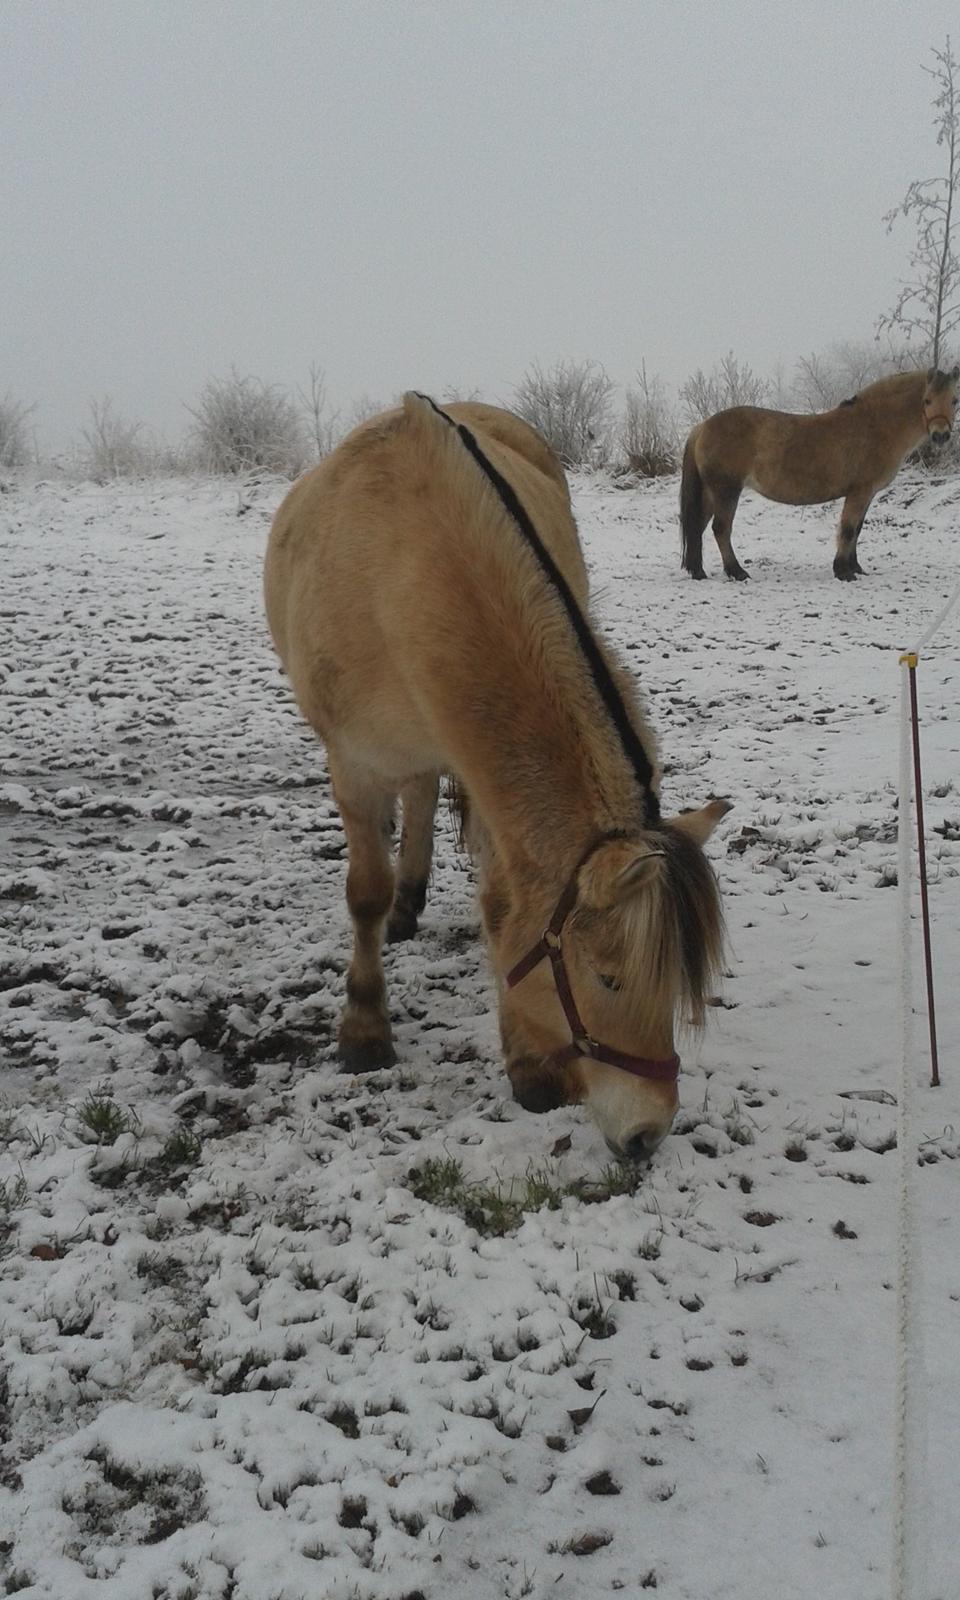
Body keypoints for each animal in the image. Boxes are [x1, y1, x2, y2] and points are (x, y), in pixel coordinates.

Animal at [262, 393, 726, 1158]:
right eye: (607, 979)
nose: (648, 1134)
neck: (403, 577)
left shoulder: (485, 780)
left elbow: (502, 905)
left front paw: (527, 1062)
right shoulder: (355, 766)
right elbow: (364, 894)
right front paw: (364, 1029)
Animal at [678, 364, 953, 582]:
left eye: (955, 400)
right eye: (927, 400)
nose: (941, 436)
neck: (874, 425)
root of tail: (702, 427)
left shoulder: (868, 494)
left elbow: (857, 529)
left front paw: (855, 567)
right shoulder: (860, 492)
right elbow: (848, 529)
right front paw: (843, 571)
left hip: (710, 493)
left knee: (698, 526)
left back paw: (698, 571)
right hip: (726, 491)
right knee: (721, 529)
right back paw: (737, 572)